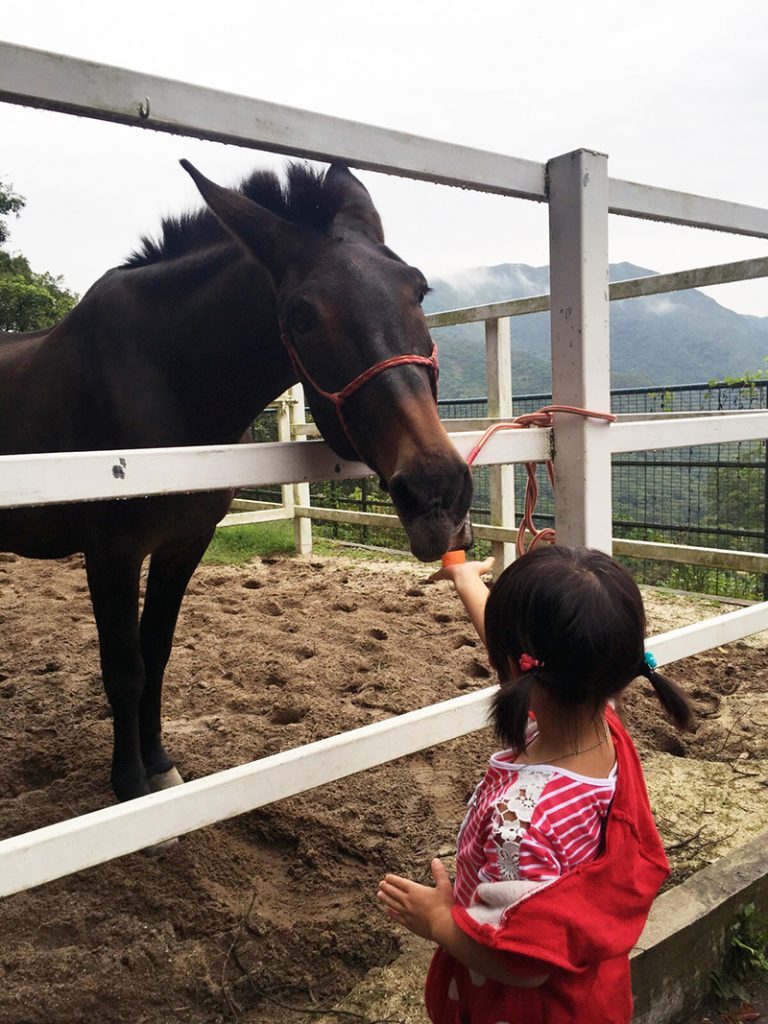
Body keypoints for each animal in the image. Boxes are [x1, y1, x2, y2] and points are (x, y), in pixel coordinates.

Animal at [0, 159, 473, 802]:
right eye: (301, 315)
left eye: (418, 290)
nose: (437, 492)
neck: (165, 378)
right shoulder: (111, 552)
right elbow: (124, 668)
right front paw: (129, 782)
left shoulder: (184, 544)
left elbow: (157, 651)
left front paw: (159, 765)